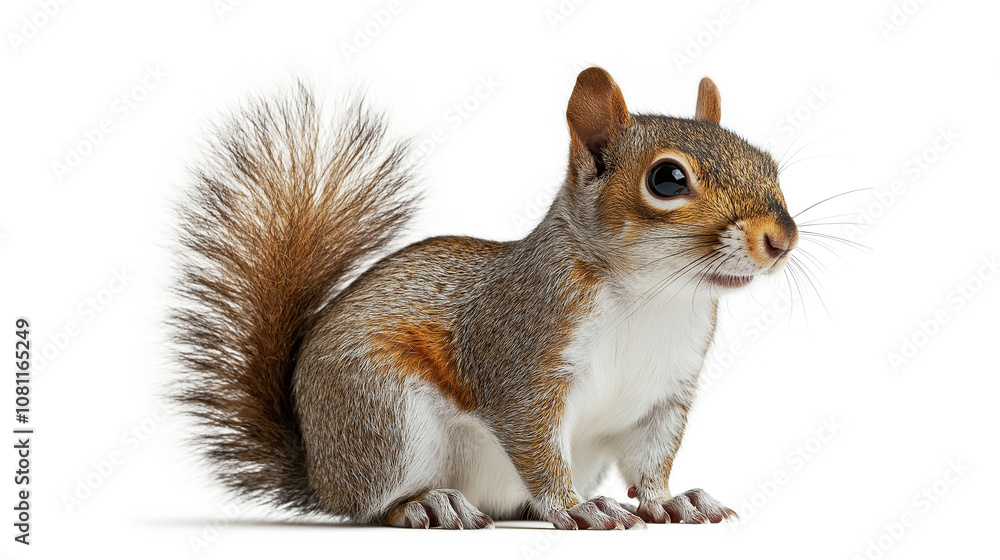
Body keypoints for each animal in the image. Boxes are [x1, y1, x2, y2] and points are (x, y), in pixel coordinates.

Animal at [172, 67, 798, 530]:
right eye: (667, 179)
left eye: (768, 165)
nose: (781, 239)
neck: (655, 296)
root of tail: (321, 471)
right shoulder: (522, 356)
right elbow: (535, 444)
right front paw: (575, 508)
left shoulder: (664, 393)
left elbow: (651, 458)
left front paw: (668, 500)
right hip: (381, 415)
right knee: (373, 505)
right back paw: (429, 504)